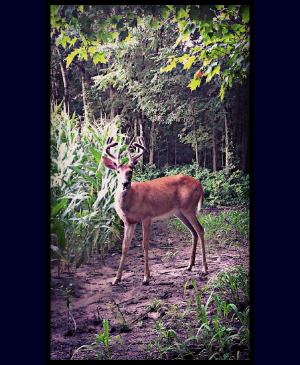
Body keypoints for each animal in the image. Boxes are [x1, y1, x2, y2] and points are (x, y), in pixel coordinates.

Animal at [102, 136, 207, 284]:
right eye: (117, 171)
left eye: (130, 171)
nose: (124, 183)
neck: (132, 200)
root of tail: (200, 184)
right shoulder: (129, 222)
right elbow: (124, 246)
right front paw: (117, 278)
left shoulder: (147, 216)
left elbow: (145, 244)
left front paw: (146, 277)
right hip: (179, 212)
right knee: (193, 232)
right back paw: (189, 266)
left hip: (189, 207)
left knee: (200, 229)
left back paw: (204, 269)